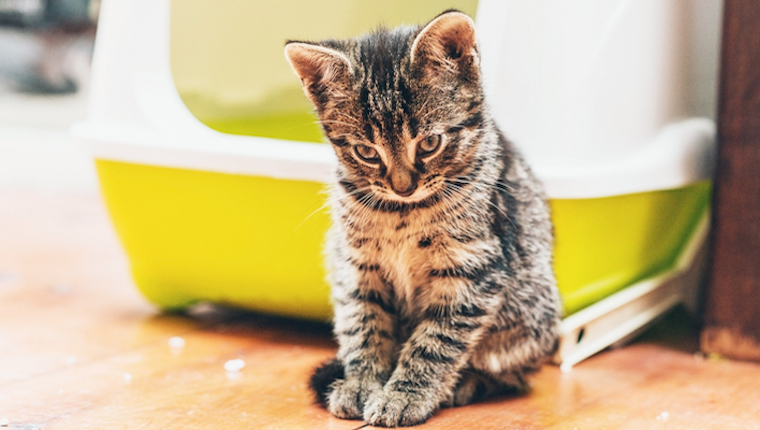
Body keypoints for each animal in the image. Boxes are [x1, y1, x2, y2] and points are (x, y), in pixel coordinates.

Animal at [284, 9, 560, 426]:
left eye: (429, 143)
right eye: (366, 152)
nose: (403, 186)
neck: (402, 213)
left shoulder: (473, 269)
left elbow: (435, 341)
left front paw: (405, 395)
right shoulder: (356, 265)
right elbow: (363, 325)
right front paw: (361, 383)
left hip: (533, 312)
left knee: (514, 373)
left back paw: (469, 383)